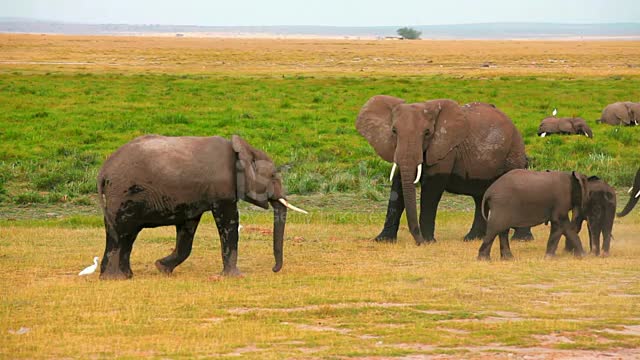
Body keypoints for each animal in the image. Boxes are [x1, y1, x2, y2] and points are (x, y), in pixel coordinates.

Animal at [97, 136, 308, 282]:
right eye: (273, 176)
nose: (274, 269)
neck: (242, 148)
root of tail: (103, 170)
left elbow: (187, 229)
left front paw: (161, 268)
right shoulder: (222, 188)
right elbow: (229, 221)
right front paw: (235, 277)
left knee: (125, 235)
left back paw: (122, 276)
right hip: (123, 194)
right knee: (123, 233)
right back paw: (115, 278)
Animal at [358, 96, 532, 245]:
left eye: (427, 133)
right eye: (394, 131)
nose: (418, 241)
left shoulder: (445, 149)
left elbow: (432, 187)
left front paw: (428, 241)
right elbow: (398, 185)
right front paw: (382, 240)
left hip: (514, 151)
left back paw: (521, 239)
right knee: (481, 196)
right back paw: (472, 238)